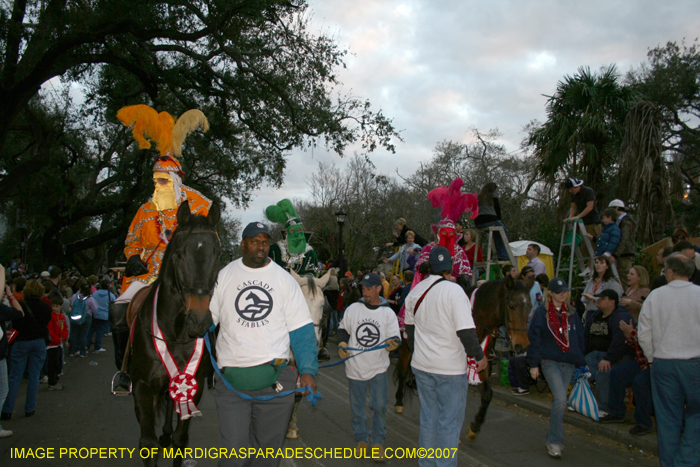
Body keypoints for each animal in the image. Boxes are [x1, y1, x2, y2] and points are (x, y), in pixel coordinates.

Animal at [127, 202, 220, 467]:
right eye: (178, 254)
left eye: (218, 254)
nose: (199, 320)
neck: (175, 333)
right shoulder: (143, 387)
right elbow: (147, 444)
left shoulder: (193, 384)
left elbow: (181, 439)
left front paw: (172, 437)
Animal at [394, 276, 532, 440]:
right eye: (511, 306)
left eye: (530, 307)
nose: (522, 345)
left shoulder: (480, 363)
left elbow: (487, 394)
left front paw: (474, 427)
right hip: (406, 349)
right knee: (402, 372)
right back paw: (399, 402)